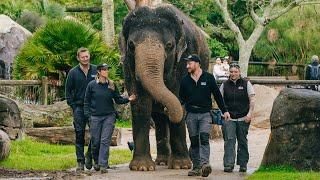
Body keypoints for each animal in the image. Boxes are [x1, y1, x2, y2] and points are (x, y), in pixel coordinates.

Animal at [119, 3, 210, 171]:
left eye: (169, 45)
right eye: (131, 45)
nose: (166, 108)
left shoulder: (185, 56)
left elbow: (179, 96)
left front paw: (181, 166)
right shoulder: (127, 63)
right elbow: (141, 105)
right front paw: (142, 168)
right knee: (159, 118)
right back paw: (161, 161)